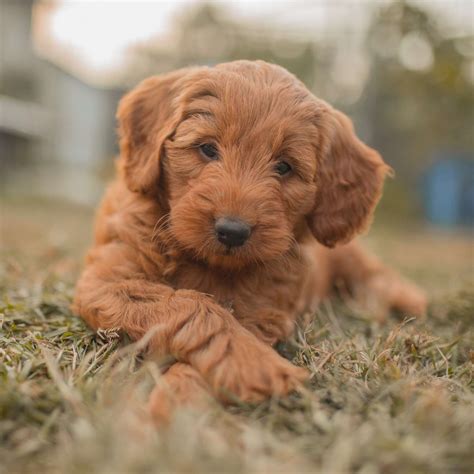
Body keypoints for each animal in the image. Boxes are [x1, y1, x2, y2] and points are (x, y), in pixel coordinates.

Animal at [74, 60, 426, 422]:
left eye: (284, 166)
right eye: (207, 148)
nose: (233, 231)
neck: (206, 263)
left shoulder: (262, 313)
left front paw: (179, 407)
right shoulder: (107, 282)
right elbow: (193, 306)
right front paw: (256, 365)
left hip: (348, 255)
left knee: (375, 272)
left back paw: (402, 299)